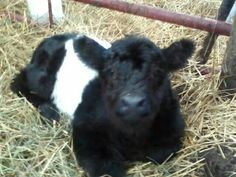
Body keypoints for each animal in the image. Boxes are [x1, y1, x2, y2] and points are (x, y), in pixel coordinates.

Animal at [72, 36, 195, 177]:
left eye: (157, 71)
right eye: (111, 72)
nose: (133, 103)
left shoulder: (172, 131)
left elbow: (156, 155)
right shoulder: (86, 136)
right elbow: (106, 168)